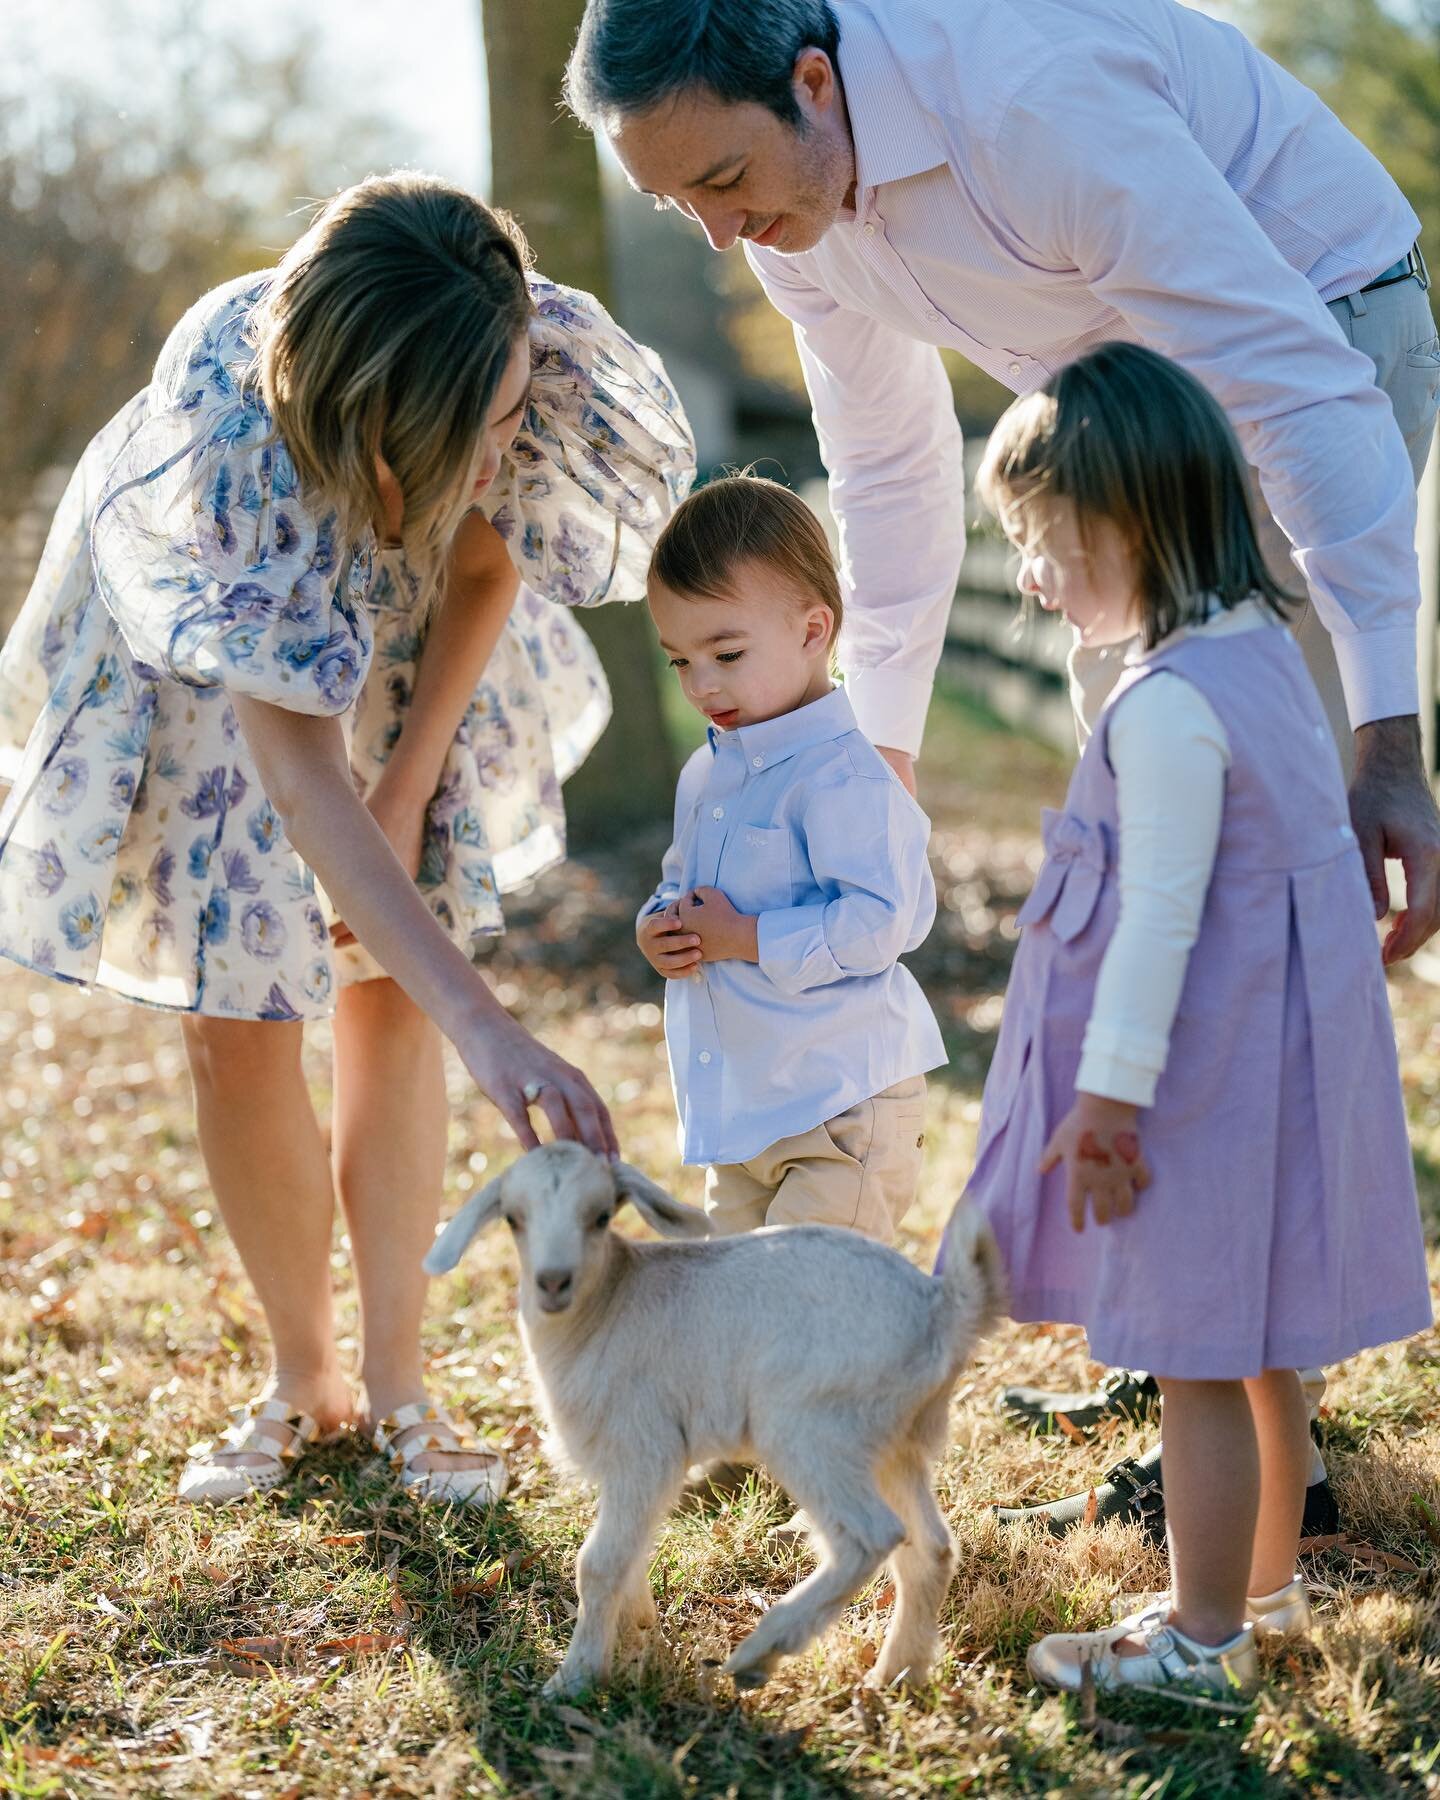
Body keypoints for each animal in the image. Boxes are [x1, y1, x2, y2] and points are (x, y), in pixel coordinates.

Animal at [424, 1144, 1000, 1692]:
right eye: (512, 1218)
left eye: (602, 1215)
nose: (552, 1282)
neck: (606, 1306)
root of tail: (943, 1310)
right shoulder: (629, 1470)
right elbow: (629, 1557)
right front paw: (641, 1649)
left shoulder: (645, 1447)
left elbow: (599, 1563)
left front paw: (576, 1679)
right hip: (893, 1440)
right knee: (930, 1549)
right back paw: (897, 1675)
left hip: (812, 1427)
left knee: (872, 1536)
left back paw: (760, 1653)